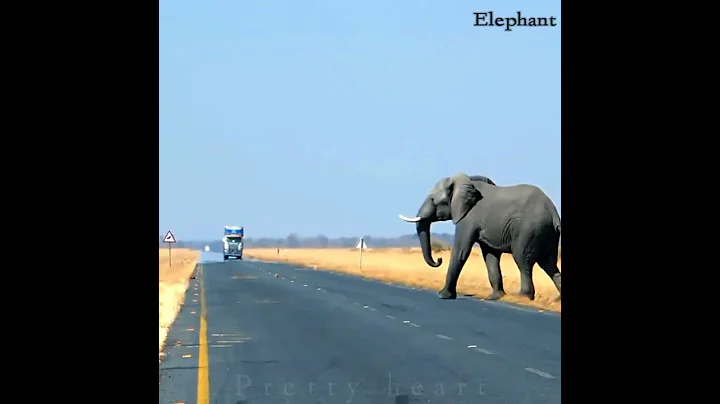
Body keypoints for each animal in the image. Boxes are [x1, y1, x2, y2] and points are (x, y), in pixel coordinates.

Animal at [398, 172, 561, 301]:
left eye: (433, 200)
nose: (439, 260)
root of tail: (553, 213)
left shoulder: (468, 217)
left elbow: (461, 251)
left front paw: (443, 295)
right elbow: (490, 255)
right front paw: (495, 297)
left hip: (529, 230)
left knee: (523, 260)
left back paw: (522, 297)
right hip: (547, 233)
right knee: (549, 264)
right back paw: (557, 300)